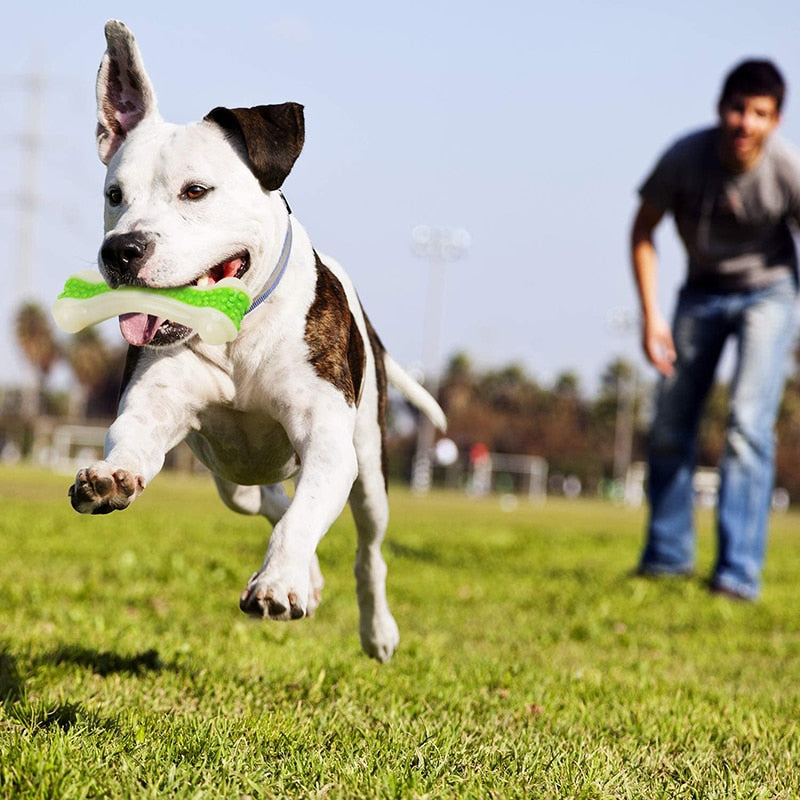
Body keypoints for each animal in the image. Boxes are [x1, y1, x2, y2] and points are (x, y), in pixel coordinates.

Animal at [67, 21, 444, 664]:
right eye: (114, 195)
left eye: (196, 191)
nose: (122, 250)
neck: (235, 332)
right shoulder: (154, 406)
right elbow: (134, 440)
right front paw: (112, 477)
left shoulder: (327, 442)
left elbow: (305, 516)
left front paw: (278, 583)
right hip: (230, 476)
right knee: (264, 501)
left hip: (370, 467)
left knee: (366, 548)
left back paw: (375, 629)